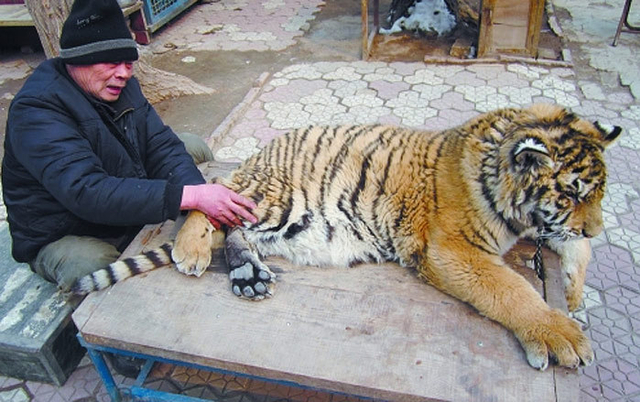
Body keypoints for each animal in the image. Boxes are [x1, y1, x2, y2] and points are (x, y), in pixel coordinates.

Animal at [71, 103, 621, 371]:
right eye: (572, 193)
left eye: (596, 193)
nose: (596, 223)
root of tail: (259, 154)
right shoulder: (454, 249)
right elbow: (511, 289)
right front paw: (561, 335)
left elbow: (576, 249)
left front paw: (574, 297)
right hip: (272, 196)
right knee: (208, 202)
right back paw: (193, 252)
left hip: (282, 221)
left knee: (236, 232)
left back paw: (249, 276)